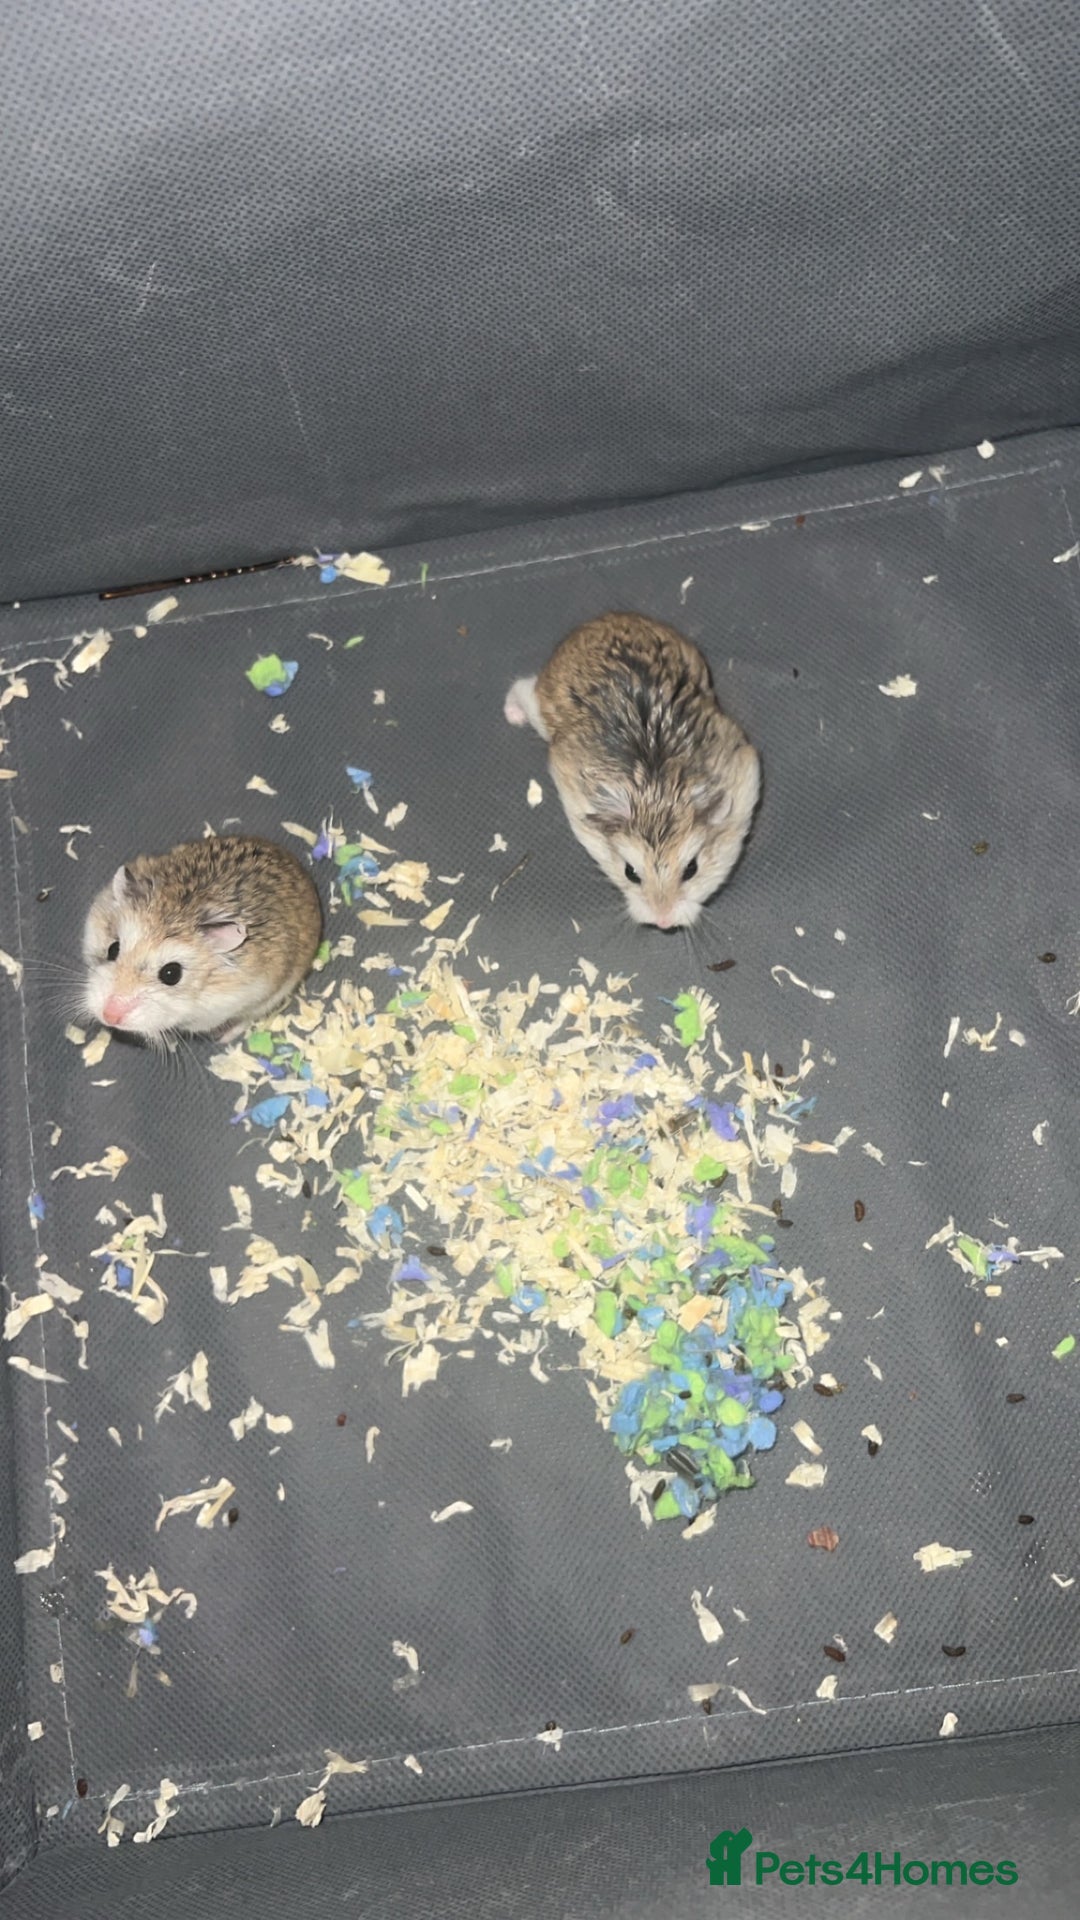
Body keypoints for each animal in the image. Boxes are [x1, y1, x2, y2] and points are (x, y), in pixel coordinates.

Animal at [505, 612, 760, 928]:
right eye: (630, 873)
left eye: (692, 869)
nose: (663, 923)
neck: (658, 791)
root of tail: (599, 622)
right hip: (541, 708)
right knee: (522, 686)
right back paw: (512, 715)